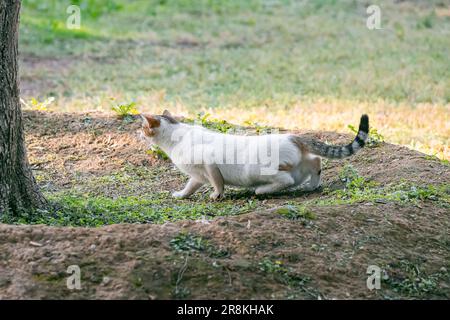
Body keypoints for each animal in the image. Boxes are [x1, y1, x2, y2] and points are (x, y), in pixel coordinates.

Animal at [141, 110, 370, 200]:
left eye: (143, 127)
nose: (139, 133)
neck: (176, 137)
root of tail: (293, 137)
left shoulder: (209, 162)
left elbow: (217, 183)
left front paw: (217, 195)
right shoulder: (198, 175)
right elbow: (190, 186)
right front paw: (181, 195)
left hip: (257, 170)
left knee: (285, 180)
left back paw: (261, 190)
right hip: (302, 164)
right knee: (315, 160)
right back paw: (312, 185)